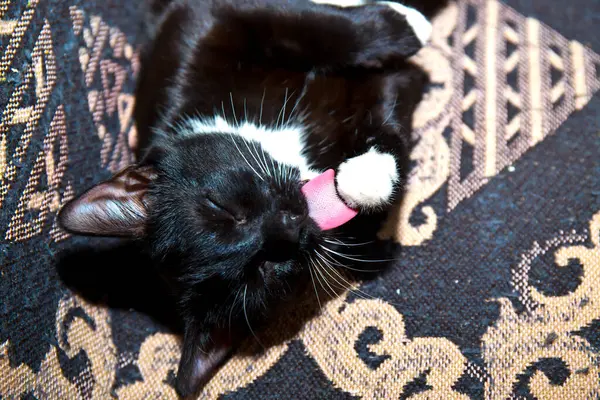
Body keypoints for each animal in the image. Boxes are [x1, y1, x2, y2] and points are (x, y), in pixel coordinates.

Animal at [57, 0, 432, 396]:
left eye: (222, 208)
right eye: (266, 268)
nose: (288, 222)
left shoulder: (196, 26)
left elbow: (309, 25)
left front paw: (407, 24)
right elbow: (391, 115)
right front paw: (367, 177)